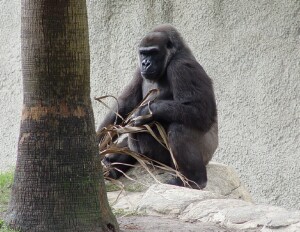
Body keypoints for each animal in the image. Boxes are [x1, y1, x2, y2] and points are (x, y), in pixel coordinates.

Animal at [98, 24, 218, 189]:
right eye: (143, 53)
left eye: (153, 52)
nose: (145, 63)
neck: (173, 56)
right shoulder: (138, 70)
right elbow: (123, 105)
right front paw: (99, 142)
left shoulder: (181, 66)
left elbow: (200, 111)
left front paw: (143, 113)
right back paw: (112, 170)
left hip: (205, 152)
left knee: (181, 127)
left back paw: (195, 179)